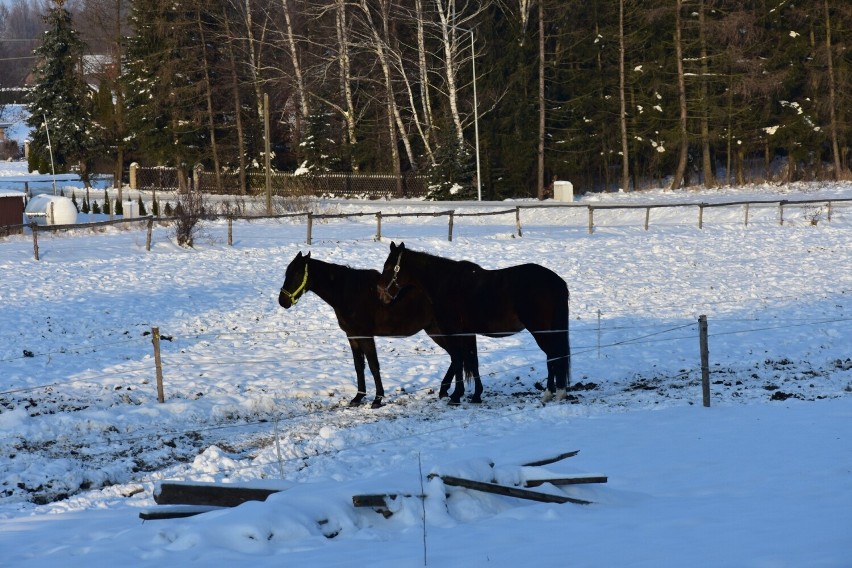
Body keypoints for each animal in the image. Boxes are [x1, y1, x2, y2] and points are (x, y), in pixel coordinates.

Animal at [282, 253, 476, 408]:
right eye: (287, 272)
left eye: (297, 273)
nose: (282, 301)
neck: (348, 293)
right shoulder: (352, 336)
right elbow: (359, 366)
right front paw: (358, 398)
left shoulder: (366, 335)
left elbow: (374, 365)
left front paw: (377, 399)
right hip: (434, 330)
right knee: (456, 356)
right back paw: (445, 391)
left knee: (458, 356)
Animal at [376, 242, 568, 402]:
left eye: (389, 266)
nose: (381, 294)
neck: (443, 282)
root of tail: (555, 281)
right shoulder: (467, 332)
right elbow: (472, 361)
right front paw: (476, 395)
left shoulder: (452, 331)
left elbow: (458, 359)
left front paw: (456, 395)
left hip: (540, 331)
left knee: (553, 356)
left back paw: (550, 393)